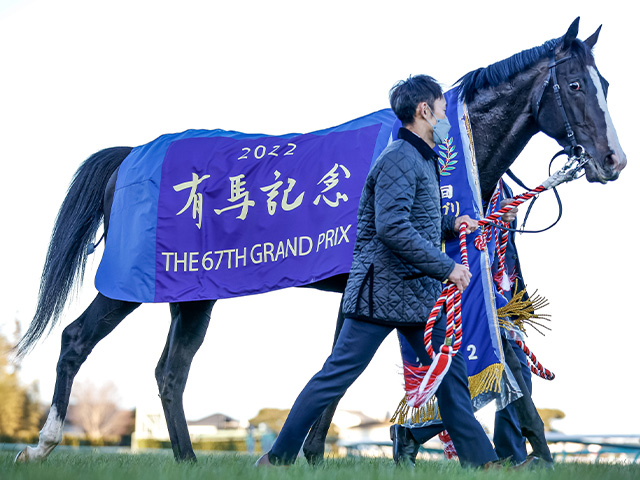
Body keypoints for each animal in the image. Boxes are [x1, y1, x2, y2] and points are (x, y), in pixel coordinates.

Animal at [13, 16, 624, 464]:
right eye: (574, 85)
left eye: (605, 85)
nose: (613, 160)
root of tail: (130, 156)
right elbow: (350, 368)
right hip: (131, 283)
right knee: (77, 340)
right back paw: (43, 445)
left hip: (194, 295)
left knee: (171, 372)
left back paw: (186, 460)